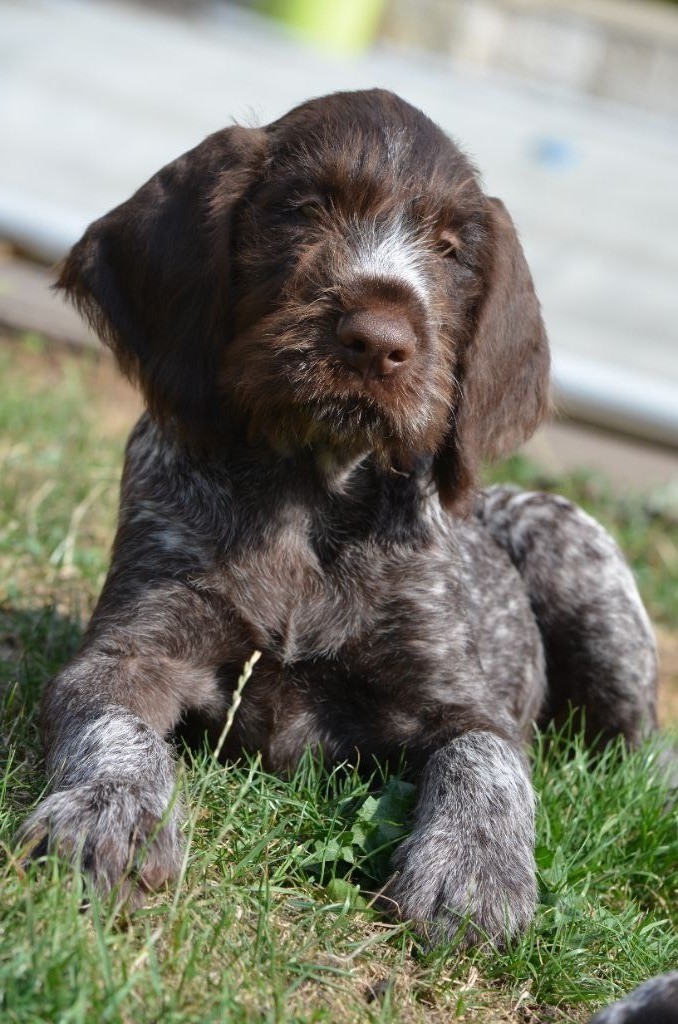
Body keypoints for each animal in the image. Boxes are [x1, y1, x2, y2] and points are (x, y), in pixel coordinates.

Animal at [20, 89, 658, 945]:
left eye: (451, 249)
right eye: (304, 210)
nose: (379, 340)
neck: (310, 493)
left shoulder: (464, 702)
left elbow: (488, 766)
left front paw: (474, 872)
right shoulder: (131, 651)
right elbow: (112, 729)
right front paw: (106, 817)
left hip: (577, 557)